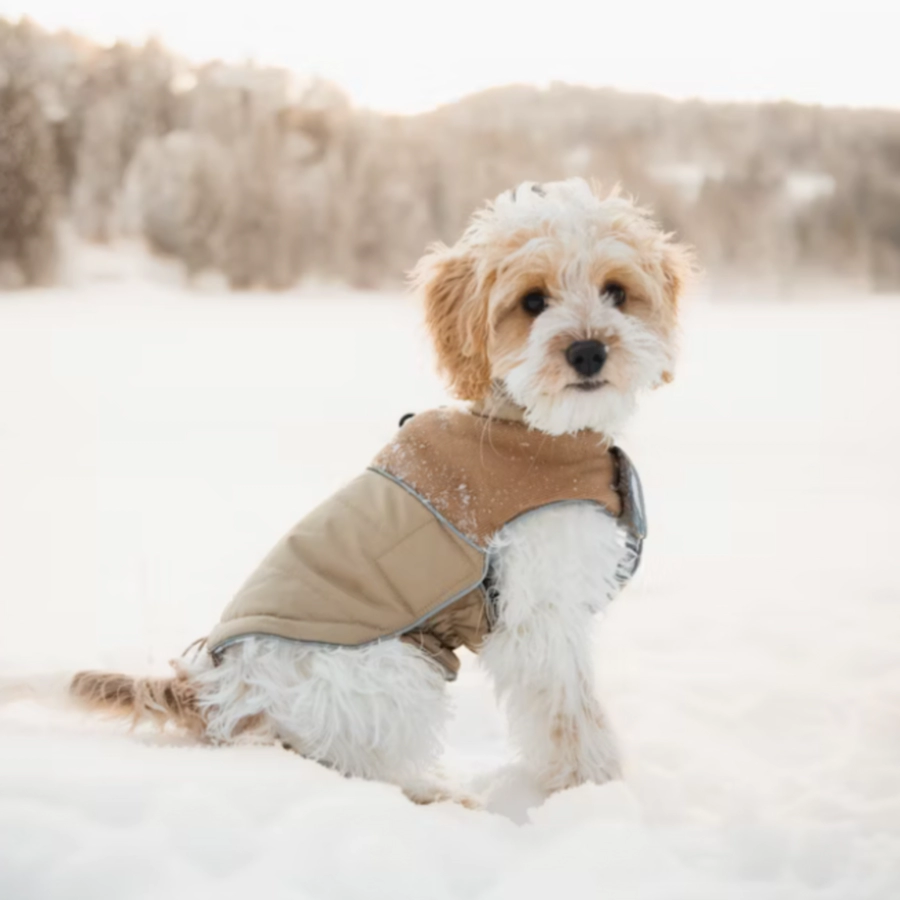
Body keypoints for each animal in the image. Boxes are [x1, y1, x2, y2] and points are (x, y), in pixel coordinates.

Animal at [1, 179, 688, 804]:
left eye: (616, 292)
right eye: (533, 300)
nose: (588, 351)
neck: (531, 431)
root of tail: (211, 692)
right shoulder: (538, 612)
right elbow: (570, 711)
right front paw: (594, 791)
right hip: (397, 665)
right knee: (346, 765)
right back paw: (435, 795)